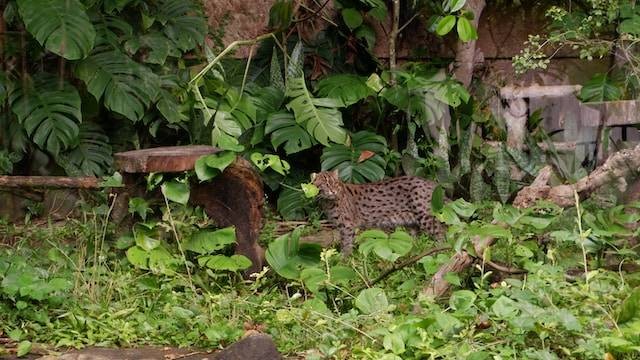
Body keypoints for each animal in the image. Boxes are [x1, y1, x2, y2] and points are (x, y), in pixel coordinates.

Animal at [314, 170, 444, 255]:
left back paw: (439, 252)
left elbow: (346, 244)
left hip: (426, 216)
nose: (333, 191)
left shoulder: (347, 226)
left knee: (442, 233)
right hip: (411, 221)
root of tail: (430, 182)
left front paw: (344, 261)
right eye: (325, 184)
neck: (328, 202)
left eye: (335, 183)